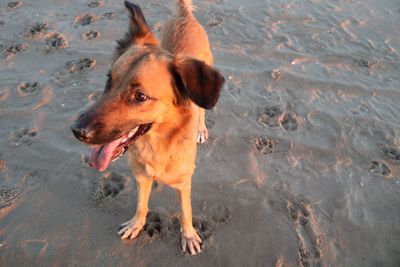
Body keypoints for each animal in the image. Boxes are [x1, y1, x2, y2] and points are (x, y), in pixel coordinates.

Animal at [71, 0, 225, 255]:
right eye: (108, 81)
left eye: (140, 96)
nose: (77, 130)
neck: (158, 144)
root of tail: (184, 16)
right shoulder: (141, 177)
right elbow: (141, 205)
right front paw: (136, 224)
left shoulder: (184, 184)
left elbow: (186, 212)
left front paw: (189, 234)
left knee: (203, 110)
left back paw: (201, 129)